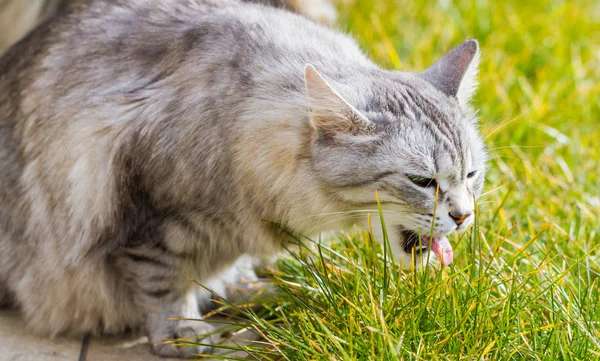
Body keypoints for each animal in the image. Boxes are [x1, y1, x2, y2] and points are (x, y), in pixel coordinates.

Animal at [0, 0, 488, 356]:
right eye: (422, 181)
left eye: (471, 174)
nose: (464, 216)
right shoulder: (147, 215)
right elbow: (163, 286)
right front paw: (184, 335)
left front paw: (237, 287)